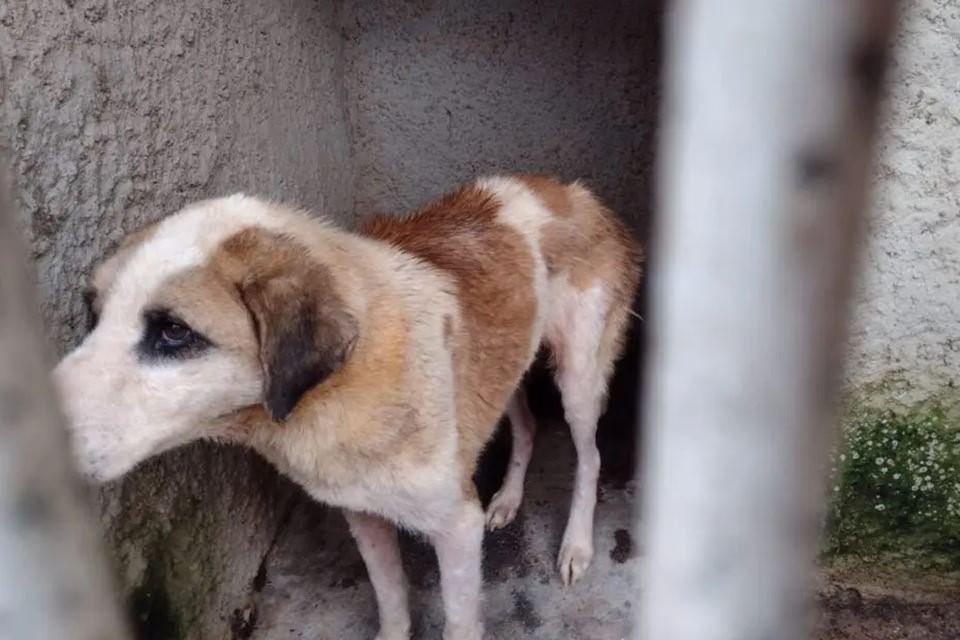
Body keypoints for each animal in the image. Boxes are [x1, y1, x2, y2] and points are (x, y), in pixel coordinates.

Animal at [50, 175, 636, 640]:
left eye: (173, 331)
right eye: (94, 313)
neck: (348, 381)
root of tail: (571, 190)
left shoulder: (456, 528)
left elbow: (458, 621)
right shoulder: (362, 513)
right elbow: (391, 601)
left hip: (579, 377)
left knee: (589, 457)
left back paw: (576, 545)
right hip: (507, 361)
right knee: (528, 425)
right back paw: (510, 499)